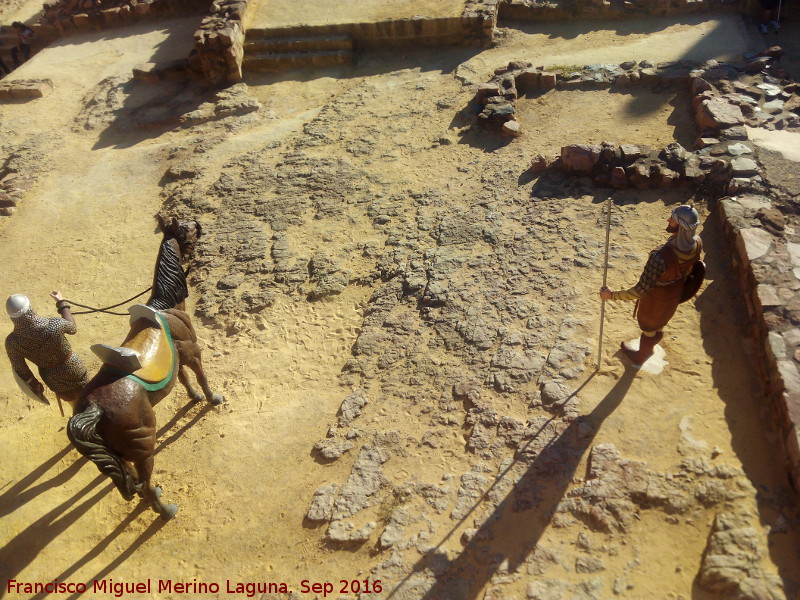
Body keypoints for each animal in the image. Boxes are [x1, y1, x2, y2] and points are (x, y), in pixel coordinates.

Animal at [65, 217, 220, 520]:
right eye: (187, 229)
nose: (199, 223)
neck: (167, 307)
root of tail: (94, 407)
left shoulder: (176, 358)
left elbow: (183, 379)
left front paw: (194, 397)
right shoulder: (192, 351)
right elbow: (201, 376)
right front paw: (212, 399)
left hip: (122, 454)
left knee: (128, 479)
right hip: (144, 448)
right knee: (145, 486)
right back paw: (166, 509)